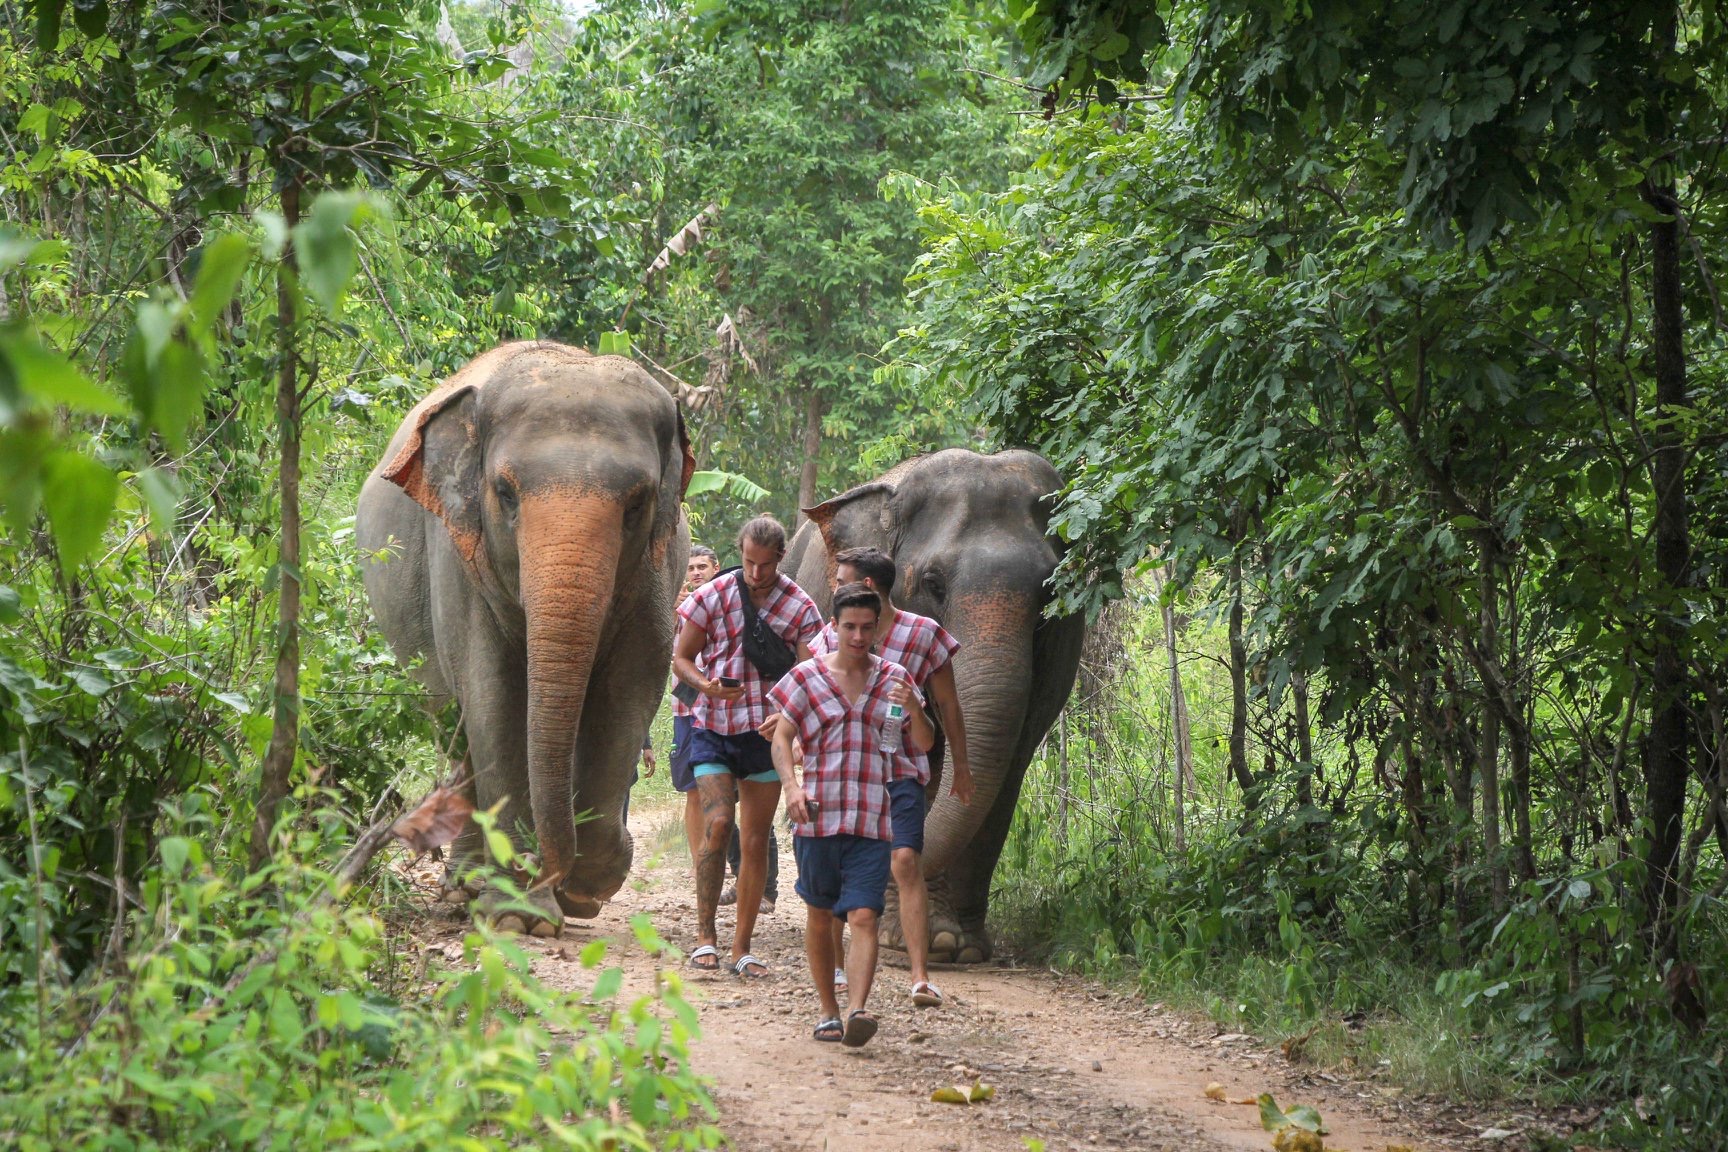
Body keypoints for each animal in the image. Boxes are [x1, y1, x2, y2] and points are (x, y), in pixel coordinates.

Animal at [355, 341, 687, 939]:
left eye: (637, 504)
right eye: (505, 494)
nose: (539, 865)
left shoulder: (657, 567)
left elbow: (630, 691)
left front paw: (586, 886)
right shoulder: (458, 557)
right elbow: (495, 696)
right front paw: (518, 917)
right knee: (455, 728)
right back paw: (464, 885)